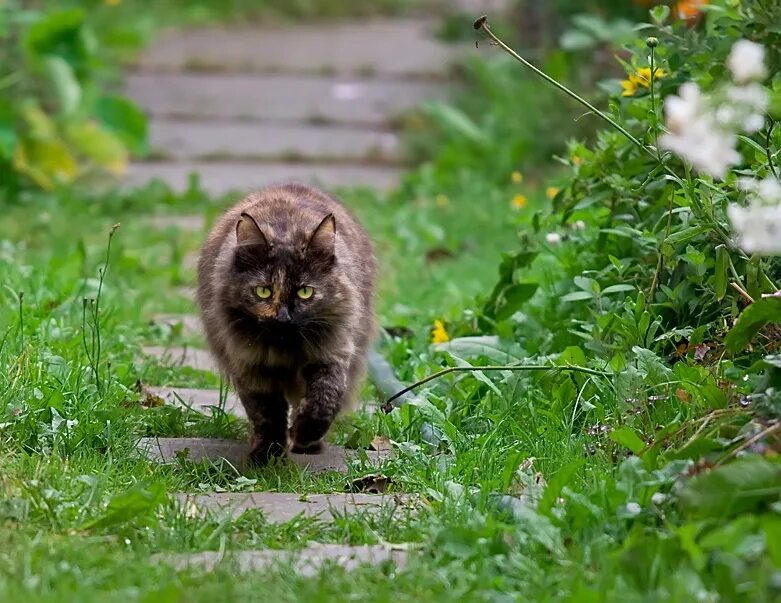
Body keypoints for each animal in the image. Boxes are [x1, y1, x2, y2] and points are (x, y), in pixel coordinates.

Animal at [197, 182, 376, 464]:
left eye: (305, 292)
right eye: (263, 291)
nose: (283, 318)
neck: (286, 349)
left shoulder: (332, 354)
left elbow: (324, 399)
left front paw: (304, 434)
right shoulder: (250, 366)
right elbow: (266, 415)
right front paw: (267, 455)